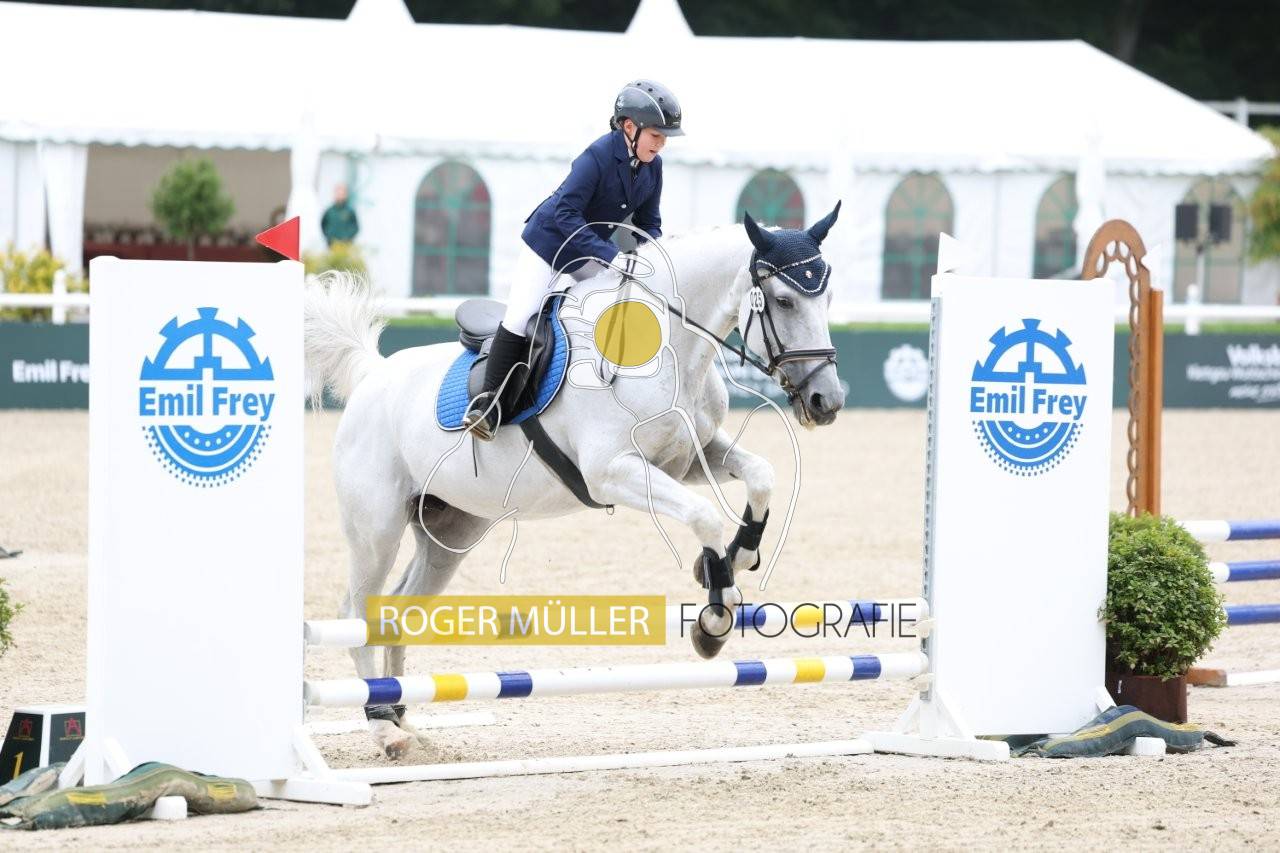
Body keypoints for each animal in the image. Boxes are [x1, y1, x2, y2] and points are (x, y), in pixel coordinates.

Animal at [304, 205, 846, 758]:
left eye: (825, 298)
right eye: (783, 300)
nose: (827, 401)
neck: (672, 349)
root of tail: (373, 375)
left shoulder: (688, 459)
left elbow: (760, 475)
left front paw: (738, 556)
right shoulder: (612, 473)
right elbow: (704, 515)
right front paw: (714, 619)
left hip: (450, 534)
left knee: (397, 610)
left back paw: (400, 714)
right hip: (376, 530)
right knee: (357, 609)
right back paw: (381, 726)